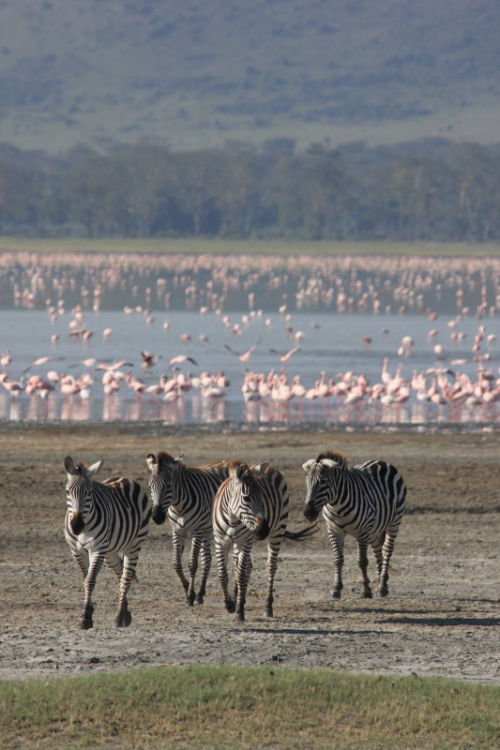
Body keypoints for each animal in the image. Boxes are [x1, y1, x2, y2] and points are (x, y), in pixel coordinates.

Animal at [63, 455, 151, 629]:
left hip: (134, 545)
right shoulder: (76, 551)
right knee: (120, 572)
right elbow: (85, 578)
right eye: (68, 491)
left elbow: (90, 581)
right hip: (110, 552)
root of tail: (125, 478)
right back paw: (125, 613)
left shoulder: (97, 549)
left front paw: (85, 618)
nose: (76, 525)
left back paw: (119, 616)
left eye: (90, 492)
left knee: (125, 578)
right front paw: (88, 612)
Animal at [146, 451, 235, 606]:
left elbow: (192, 563)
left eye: (168, 485)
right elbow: (176, 562)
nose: (156, 517)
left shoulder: (197, 530)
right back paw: (200, 594)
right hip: (207, 530)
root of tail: (226, 461)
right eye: (151, 485)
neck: (178, 506)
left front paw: (190, 595)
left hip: (208, 528)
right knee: (207, 559)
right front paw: (188, 587)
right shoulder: (177, 530)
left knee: (206, 559)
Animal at [213, 461, 316, 622]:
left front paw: (239, 611)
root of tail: (271, 467)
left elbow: (241, 574)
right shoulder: (219, 541)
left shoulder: (246, 541)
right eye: (246, 498)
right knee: (243, 566)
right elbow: (222, 574)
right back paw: (238, 597)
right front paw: (229, 604)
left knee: (270, 566)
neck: (233, 519)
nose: (263, 530)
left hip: (277, 530)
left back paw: (268, 607)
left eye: (263, 497)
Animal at [302, 450, 406, 601]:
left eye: (323, 482)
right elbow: (337, 559)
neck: (337, 506)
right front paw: (336, 589)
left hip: (394, 522)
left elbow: (362, 561)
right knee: (377, 550)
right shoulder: (334, 530)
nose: (308, 513)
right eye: (307, 482)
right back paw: (382, 581)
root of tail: (381, 461)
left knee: (387, 550)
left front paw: (365, 590)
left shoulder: (362, 531)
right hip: (372, 530)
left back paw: (382, 585)